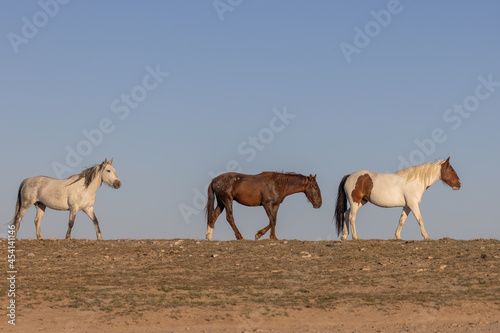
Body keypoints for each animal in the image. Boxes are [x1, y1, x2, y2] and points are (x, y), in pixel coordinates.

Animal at [334, 157, 462, 240]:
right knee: (352, 217)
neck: (414, 181)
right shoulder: (413, 204)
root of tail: (349, 176)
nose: (459, 184)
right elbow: (420, 219)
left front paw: (397, 237)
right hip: (355, 202)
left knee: (346, 214)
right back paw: (355, 237)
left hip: (361, 202)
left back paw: (344, 236)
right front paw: (426, 237)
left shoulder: (407, 206)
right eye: (451, 170)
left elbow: (401, 221)